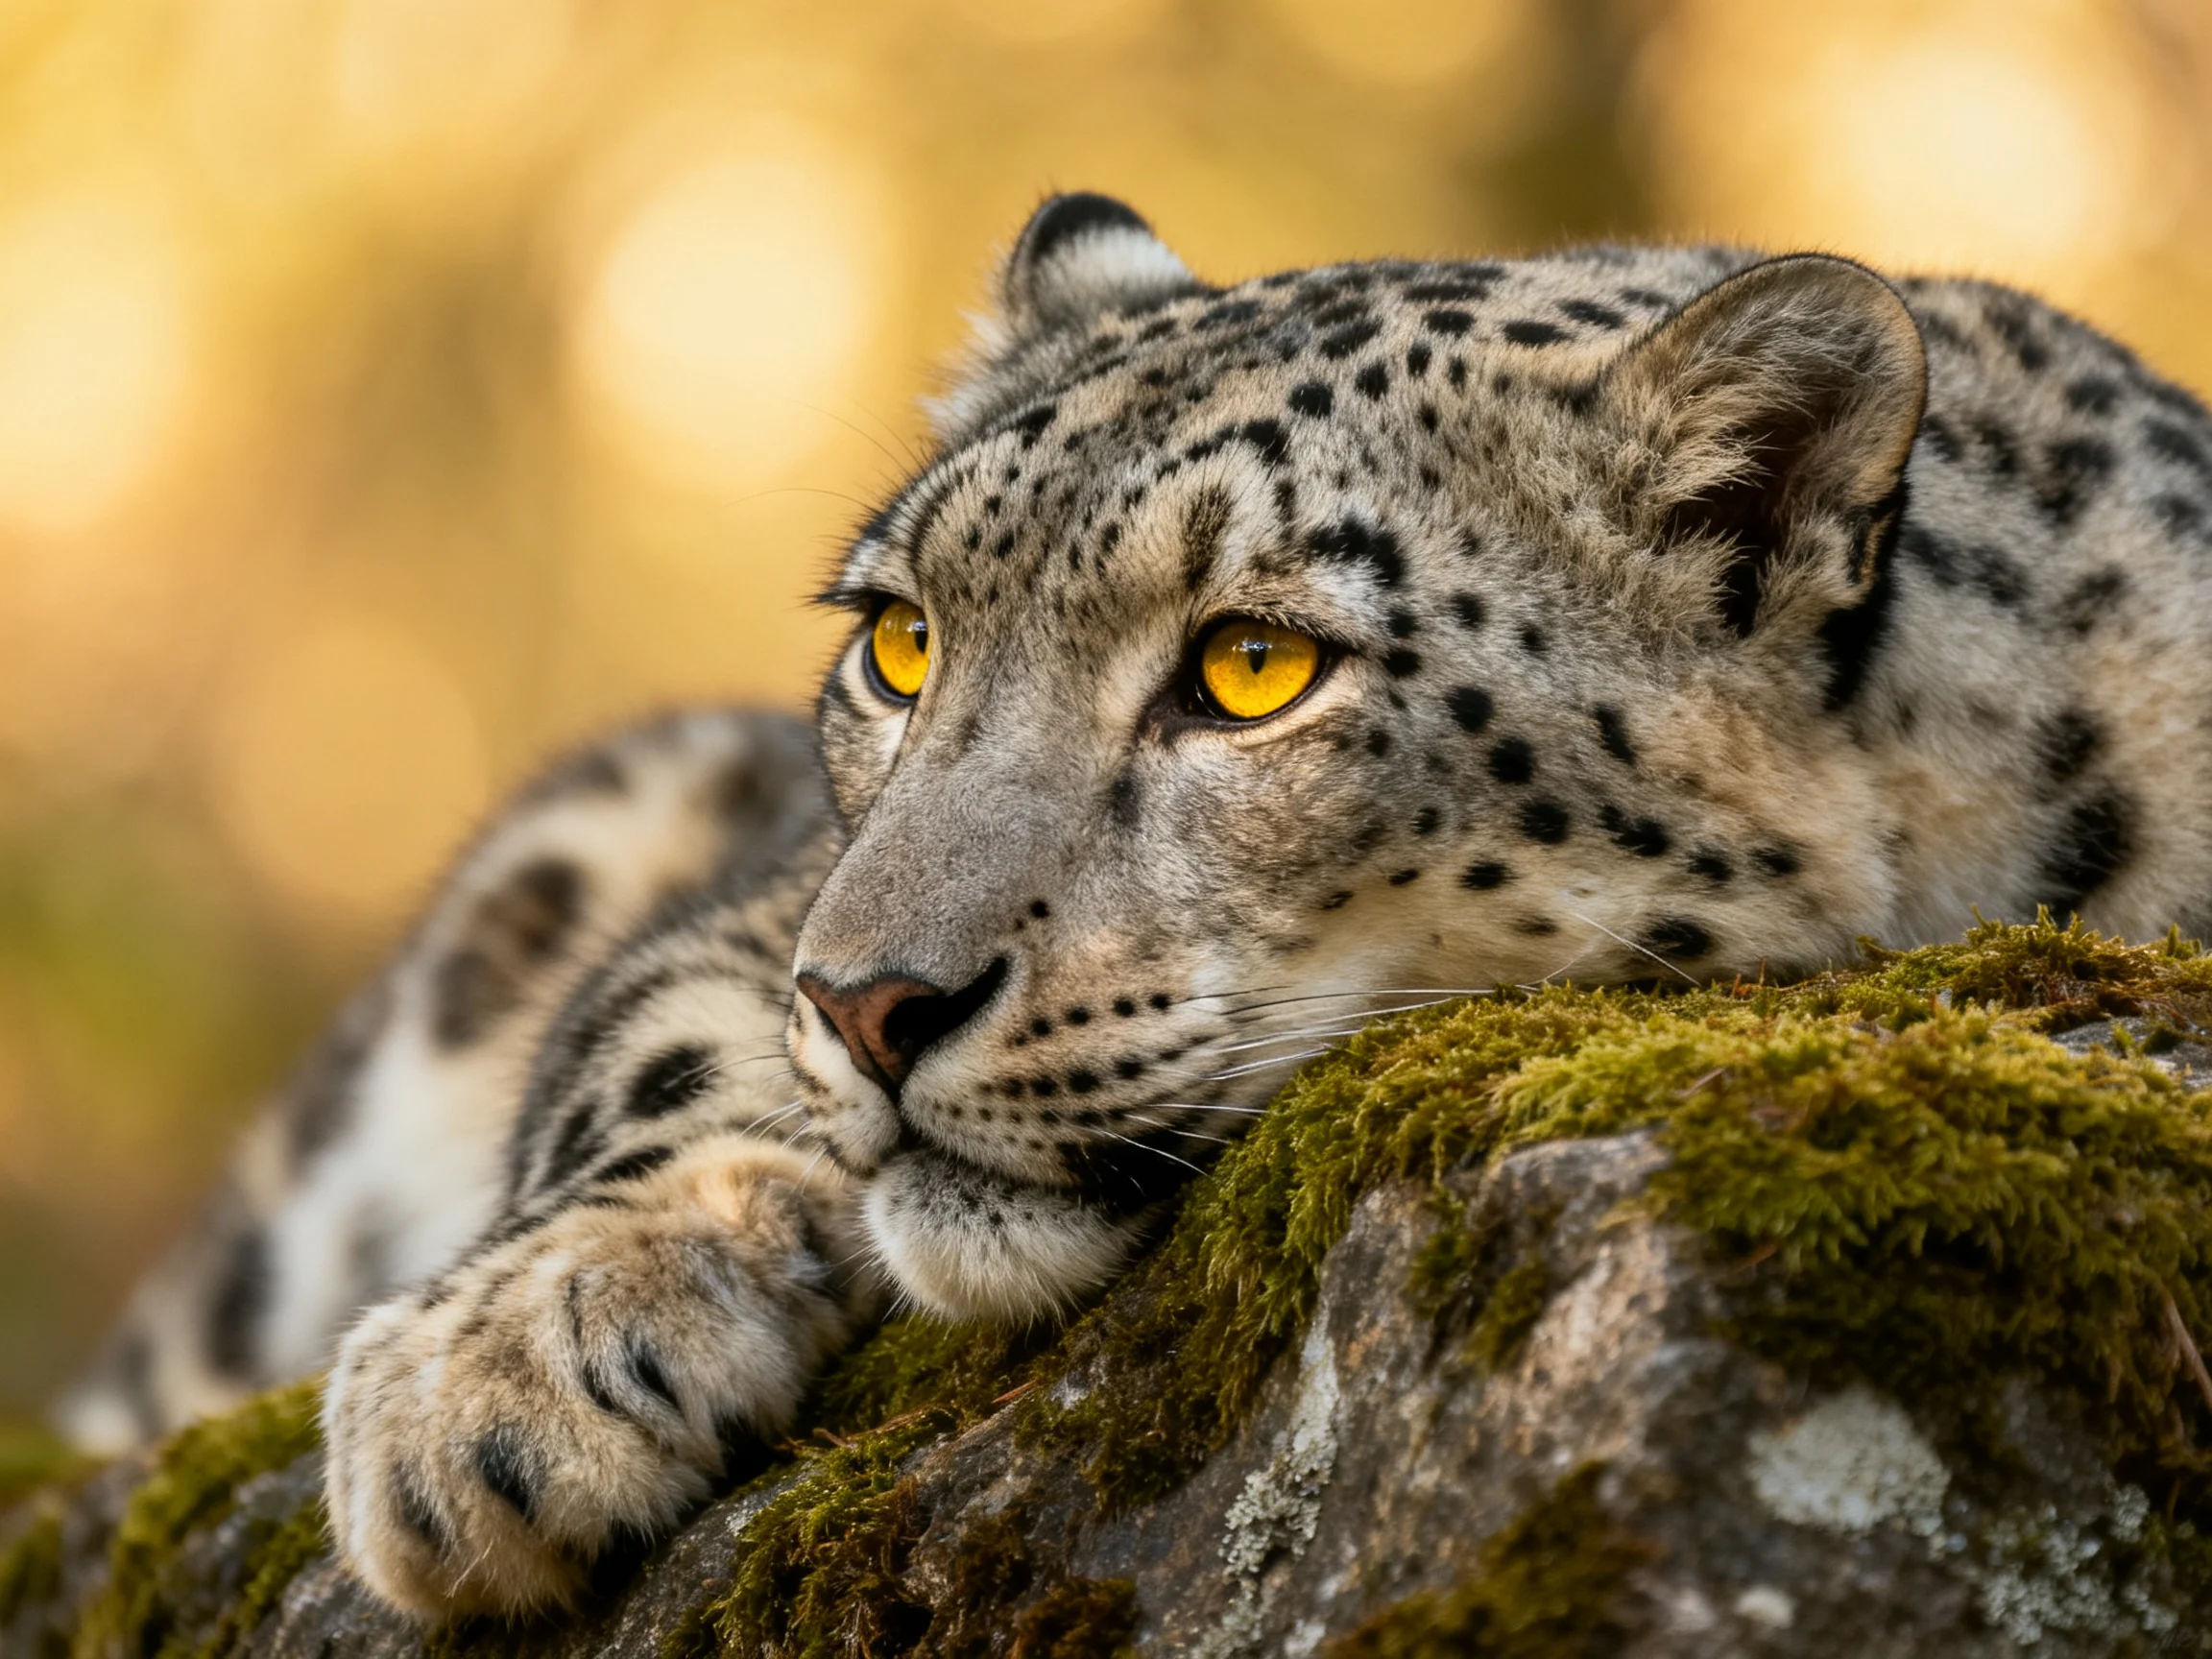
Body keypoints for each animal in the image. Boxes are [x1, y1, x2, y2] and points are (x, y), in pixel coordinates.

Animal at [54, 191, 2212, 1621]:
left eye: (1253, 668)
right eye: (902, 641)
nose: (866, 999)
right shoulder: (749, 896)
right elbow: (652, 1021)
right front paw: (504, 1380)